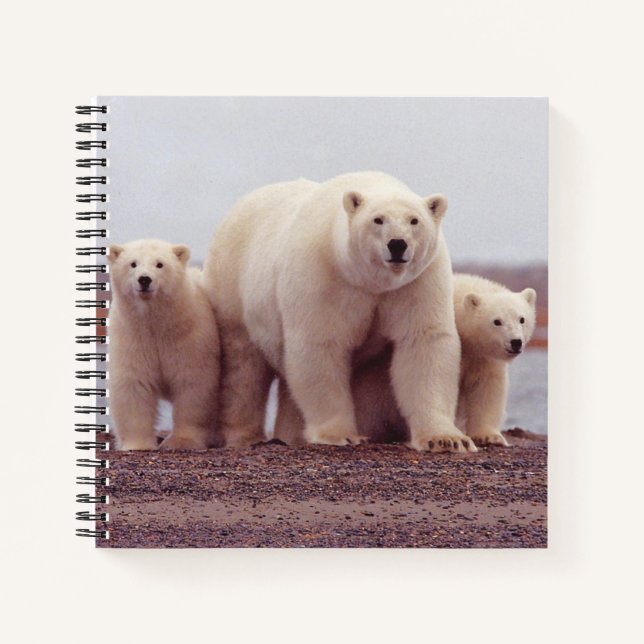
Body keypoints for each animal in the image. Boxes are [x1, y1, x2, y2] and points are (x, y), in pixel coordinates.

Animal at [107, 239, 221, 451]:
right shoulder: (132, 337)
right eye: (133, 263)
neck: (157, 325)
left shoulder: (189, 337)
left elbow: (192, 384)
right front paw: (138, 444)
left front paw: (181, 442)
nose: (144, 279)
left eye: (160, 264)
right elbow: (133, 384)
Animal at [203, 171, 476, 453]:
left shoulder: (417, 281)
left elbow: (423, 341)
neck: (370, 281)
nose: (397, 244)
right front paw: (341, 434)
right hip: (233, 288)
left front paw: (446, 439)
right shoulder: (324, 275)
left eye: (414, 220)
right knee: (243, 368)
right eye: (378, 219)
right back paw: (244, 436)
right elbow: (321, 344)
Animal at [274, 273, 537, 448]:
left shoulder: (481, 357)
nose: (515, 342)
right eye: (496, 321)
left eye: (522, 319)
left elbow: (487, 387)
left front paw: (489, 436)